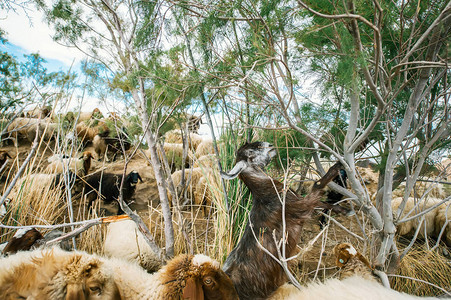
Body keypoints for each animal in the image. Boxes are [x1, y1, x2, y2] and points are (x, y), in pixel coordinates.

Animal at [221, 141, 348, 300]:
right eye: (250, 151)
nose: (270, 145)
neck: (266, 195)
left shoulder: (300, 203)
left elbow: (322, 203)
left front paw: (343, 210)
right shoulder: (300, 208)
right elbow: (317, 186)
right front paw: (338, 164)